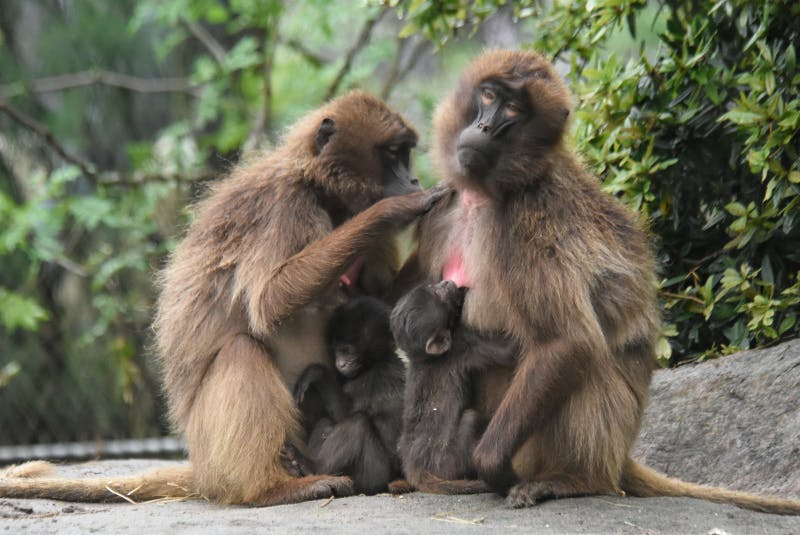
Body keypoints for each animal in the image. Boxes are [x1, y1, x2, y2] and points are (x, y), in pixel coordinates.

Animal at [292, 296, 406, 496]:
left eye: (347, 350)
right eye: (337, 350)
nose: (340, 363)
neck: (376, 362)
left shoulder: (373, 378)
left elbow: (345, 415)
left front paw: (317, 373)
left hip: (374, 475)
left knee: (358, 422)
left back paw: (312, 467)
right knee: (327, 421)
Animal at [390, 280, 516, 494]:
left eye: (433, 287)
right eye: (438, 294)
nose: (447, 282)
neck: (424, 359)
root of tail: (415, 467)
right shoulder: (463, 345)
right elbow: (509, 350)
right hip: (447, 462)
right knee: (470, 418)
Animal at [406, 50, 800, 516]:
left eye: (514, 111)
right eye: (488, 96)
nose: (483, 128)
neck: (487, 196)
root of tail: (620, 456)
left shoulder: (528, 222)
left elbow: (569, 342)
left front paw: (492, 468)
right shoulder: (440, 209)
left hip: (592, 437)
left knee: (588, 365)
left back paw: (572, 481)